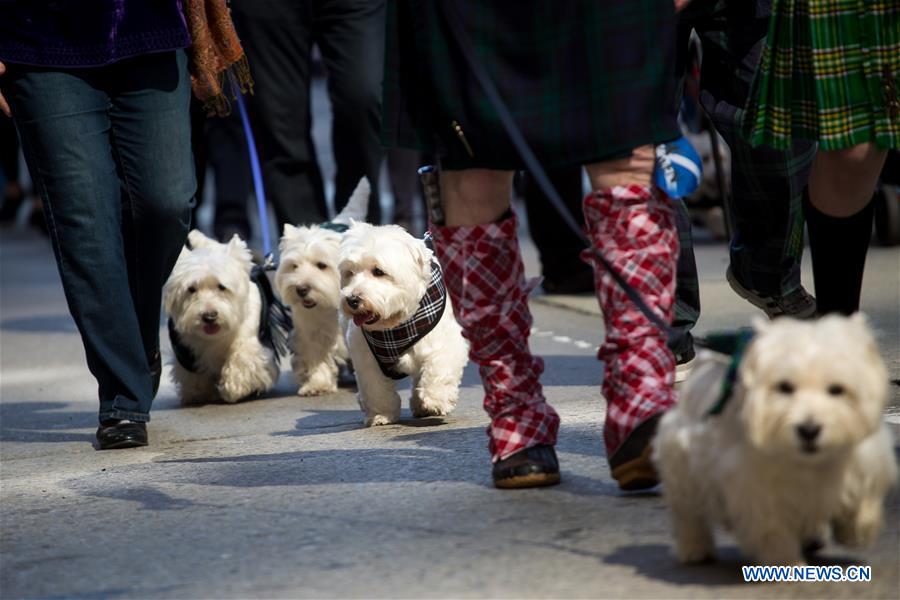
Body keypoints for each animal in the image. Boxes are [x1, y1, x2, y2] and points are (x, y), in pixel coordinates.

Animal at [162, 230, 280, 404]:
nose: (209, 316)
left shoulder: (249, 340)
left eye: (222, 287)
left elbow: (241, 357)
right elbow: (194, 374)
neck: (215, 337)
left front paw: (233, 389)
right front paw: (198, 393)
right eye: (191, 289)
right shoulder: (185, 351)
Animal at [276, 176, 370, 396]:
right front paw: (317, 384)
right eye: (294, 266)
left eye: (321, 265)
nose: (301, 289)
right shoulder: (310, 332)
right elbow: (316, 355)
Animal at [334, 221, 468, 426]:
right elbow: (374, 387)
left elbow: (439, 366)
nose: (352, 300)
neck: (395, 326)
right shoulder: (365, 357)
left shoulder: (445, 340)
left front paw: (436, 399)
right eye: (350, 273)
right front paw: (380, 414)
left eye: (378, 271)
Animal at [652, 316, 900, 564]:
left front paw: (857, 531)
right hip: (681, 464)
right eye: (784, 387)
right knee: (688, 512)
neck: (808, 462)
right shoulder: (754, 486)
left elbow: (863, 495)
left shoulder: (862, 461)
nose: (809, 430)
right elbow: (772, 529)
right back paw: (695, 549)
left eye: (836, 389)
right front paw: (786, 562)